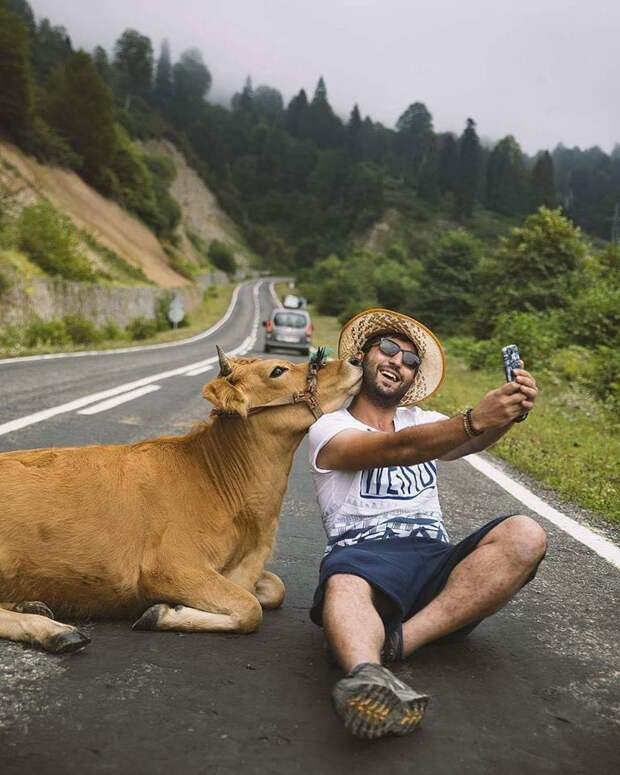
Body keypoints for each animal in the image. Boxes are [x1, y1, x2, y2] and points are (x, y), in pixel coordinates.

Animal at [0, 350, 364, 656]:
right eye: (277, 370)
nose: (354, 360)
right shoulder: (169, 567)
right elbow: (250, 608)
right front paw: (160, 613)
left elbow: (275, 589)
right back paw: (53, 630)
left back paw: (31, 605)